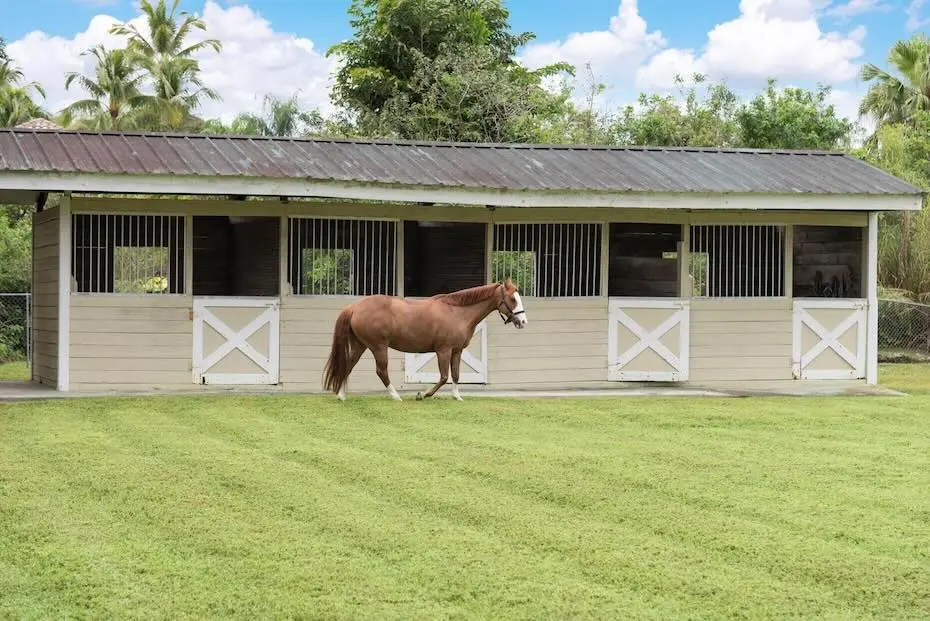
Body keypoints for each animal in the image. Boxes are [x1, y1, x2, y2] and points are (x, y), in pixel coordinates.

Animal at [320, 278, 524, 402]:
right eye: (513, 299)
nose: (523, 321)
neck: (457, 312)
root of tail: (354, 307)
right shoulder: (443, 350)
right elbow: (444, 376)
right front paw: (423, 394)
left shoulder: (457, 351)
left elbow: (456, 375)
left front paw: (457, 397)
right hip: (378, 347)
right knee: (381, 371)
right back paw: (395, 396)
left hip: (360, 345)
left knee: (348, 365)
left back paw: (341, 395)